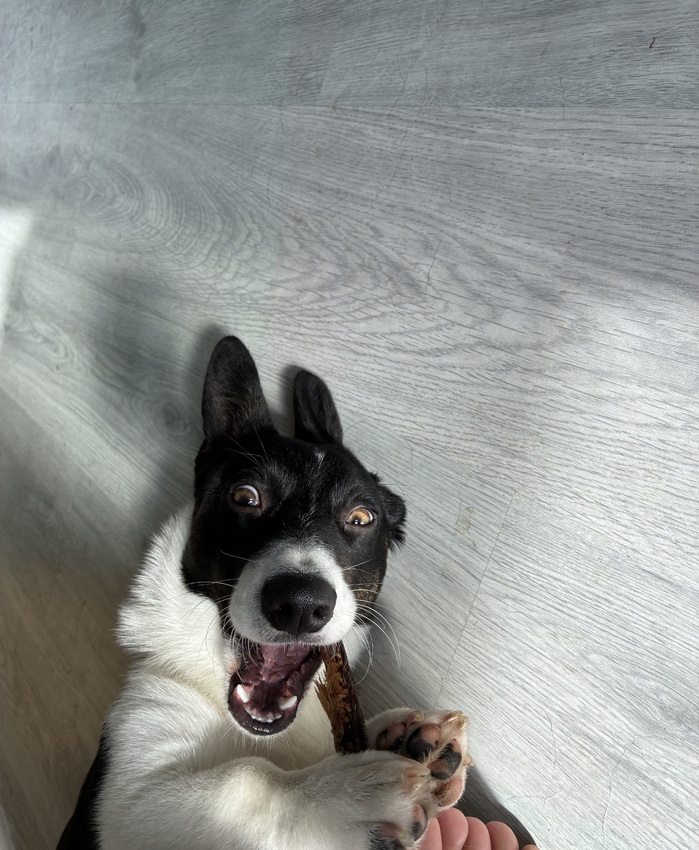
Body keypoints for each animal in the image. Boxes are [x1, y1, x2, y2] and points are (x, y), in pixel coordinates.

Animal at [58, 337, 469, 850]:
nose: (300, 605)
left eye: (360, 518)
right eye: (245, 497)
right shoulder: (128, 797)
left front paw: (405, 736)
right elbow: (244, 780)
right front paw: (353, 787)